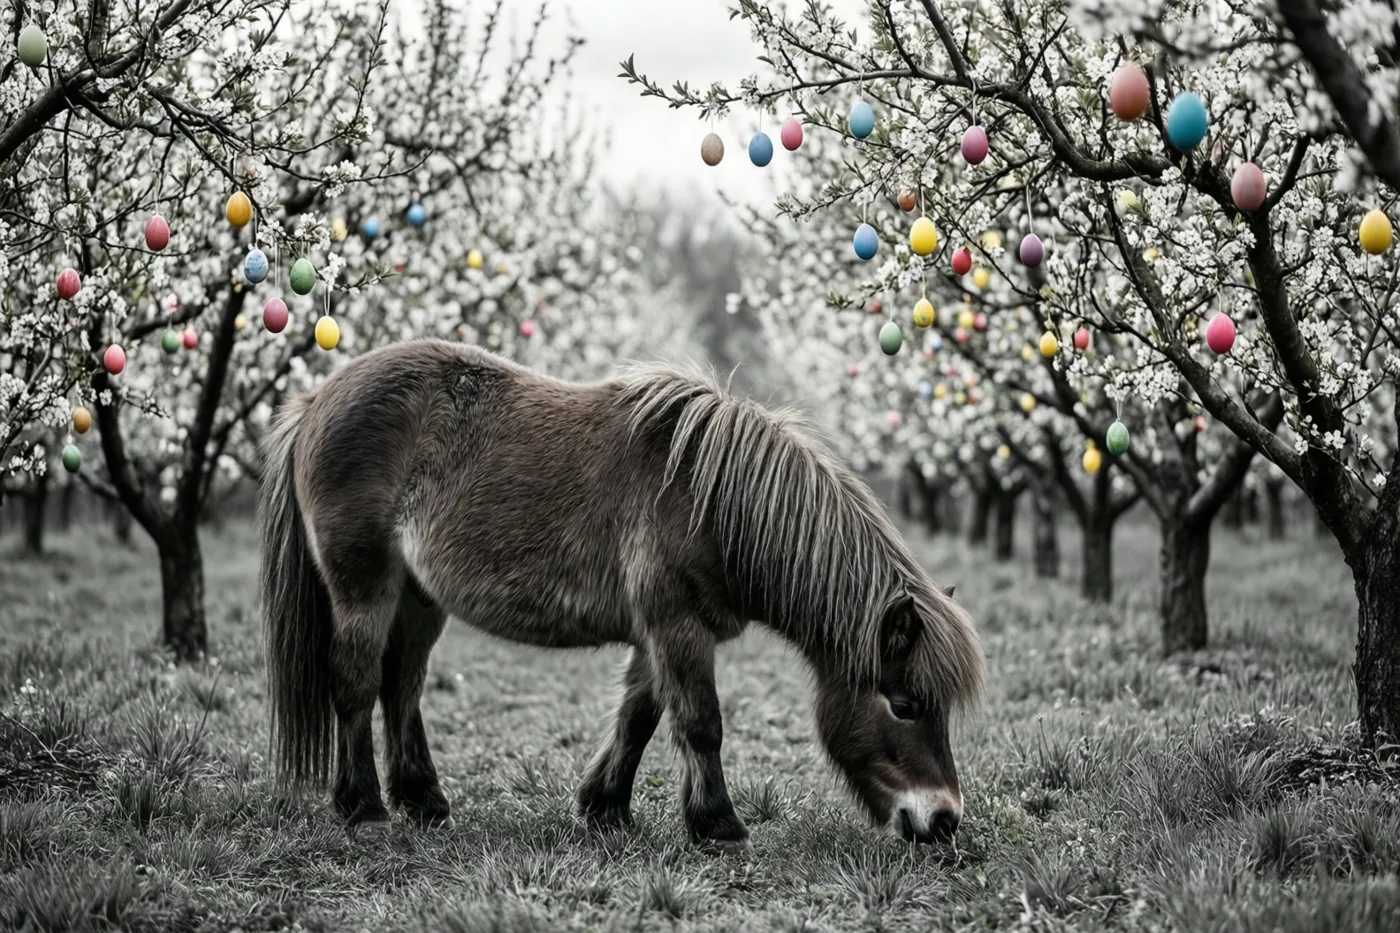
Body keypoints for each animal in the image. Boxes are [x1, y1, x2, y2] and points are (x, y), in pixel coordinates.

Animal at [258, 339, 982, 852]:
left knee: (401, 685)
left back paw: (425, 802)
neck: (710, 501)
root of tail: (316, 400)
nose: (943, 819)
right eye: (905, 704)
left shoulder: (659, 632)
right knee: (355, 683)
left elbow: (640, 717)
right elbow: (700, 722)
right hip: (364, 586)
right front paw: (720, 826)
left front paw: (606, 809)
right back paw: (365, 809)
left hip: (418, 597)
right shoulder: (676, 626)